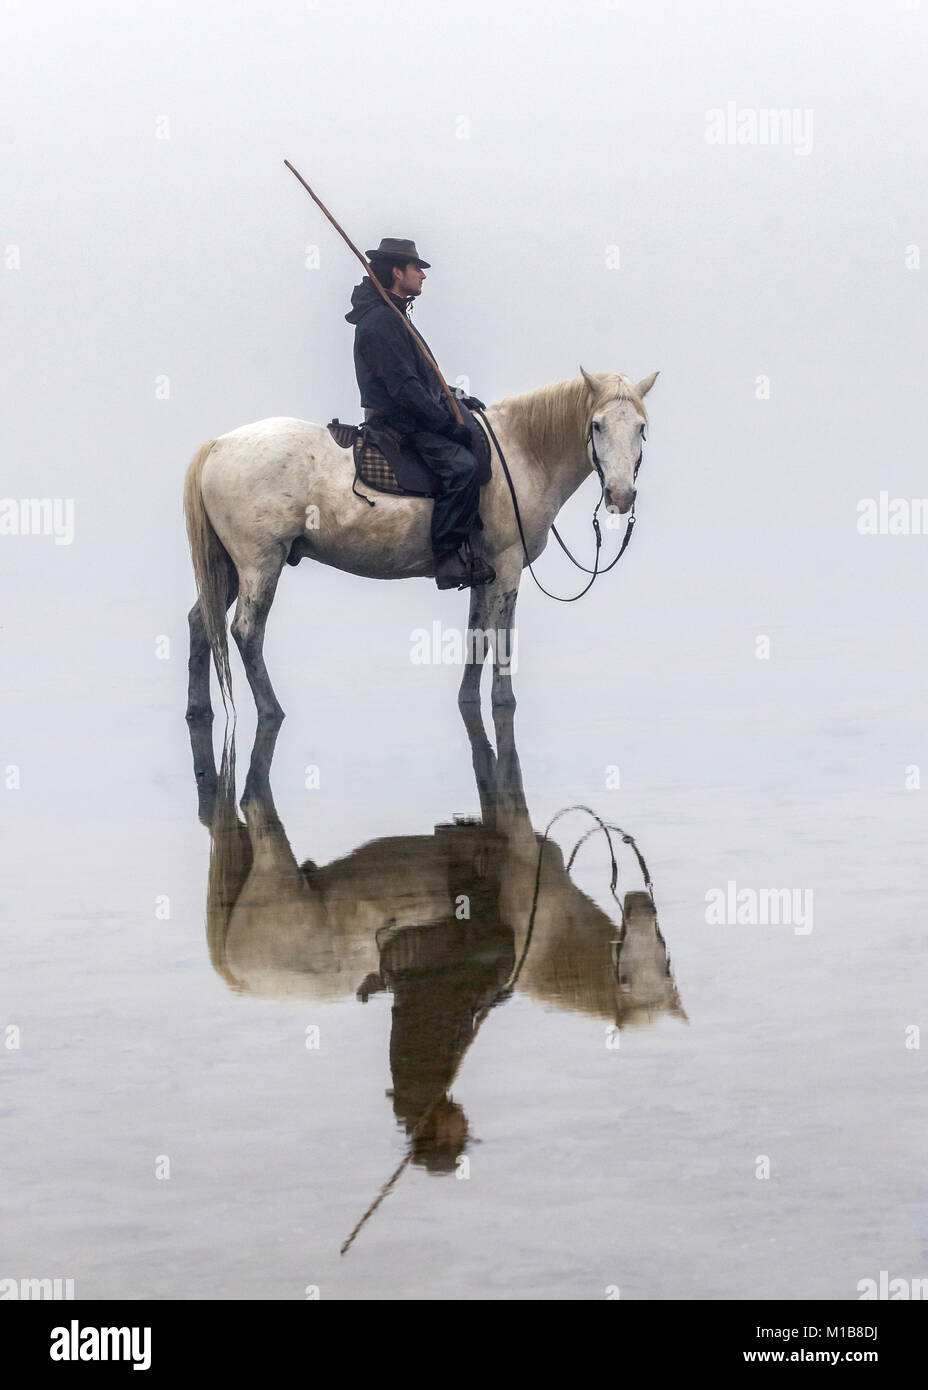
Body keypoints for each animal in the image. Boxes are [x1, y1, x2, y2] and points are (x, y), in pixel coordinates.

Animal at [184, 364, 655, 722]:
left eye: (641, 429)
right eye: (597, 425)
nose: (620, 496)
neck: (523, 453)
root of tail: (219, 446)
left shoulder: (484, 571)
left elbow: (477, 638)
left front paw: (468, 700)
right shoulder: (507, 566)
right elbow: (502, 640)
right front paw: (504, 702)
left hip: (227, 567)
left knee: (201, 622)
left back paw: (198, 710)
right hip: (260, 563)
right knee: (247, 631)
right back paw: (271, 710)